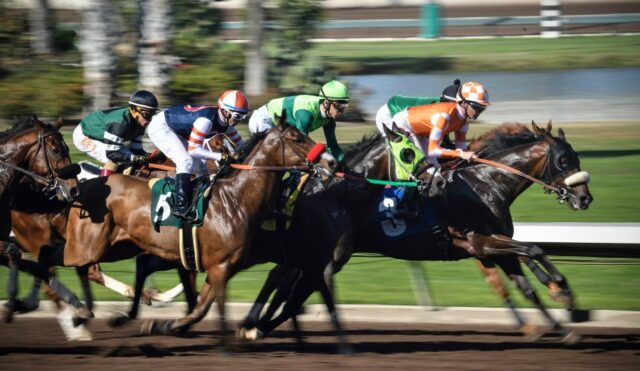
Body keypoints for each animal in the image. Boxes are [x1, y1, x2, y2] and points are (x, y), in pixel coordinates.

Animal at [36, 118, 336, 346]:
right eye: (297, 138)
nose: (331, 162)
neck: (235, 198)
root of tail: (80, 188)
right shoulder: (215, 264)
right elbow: (199, 304)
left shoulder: (221, 266)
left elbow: (201, 306)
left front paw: (168, 325)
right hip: (89, 247)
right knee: (62, 260)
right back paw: (77, 312)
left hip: (116, 247)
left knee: (72, 263)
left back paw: (85, 312)